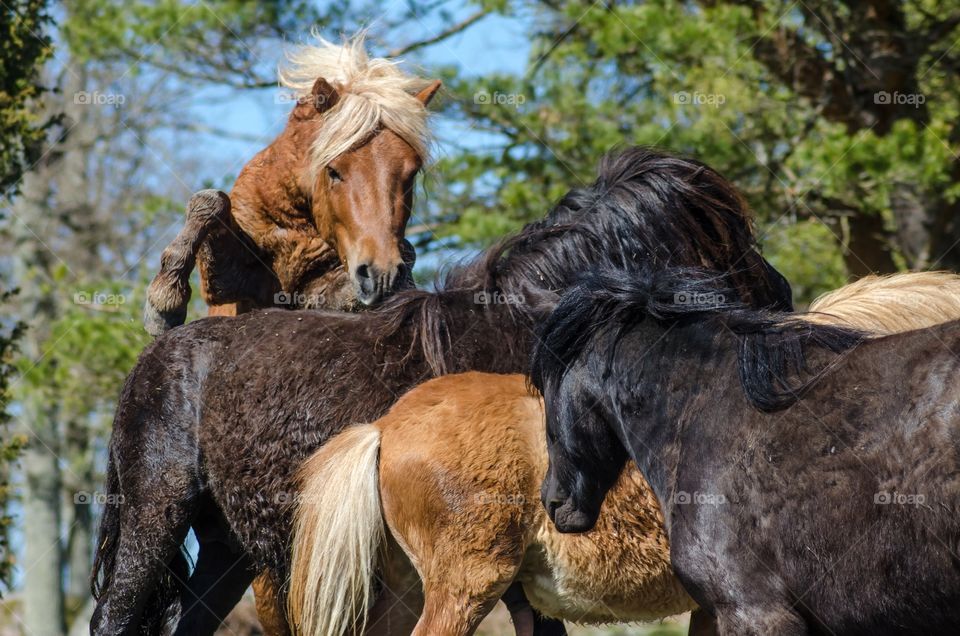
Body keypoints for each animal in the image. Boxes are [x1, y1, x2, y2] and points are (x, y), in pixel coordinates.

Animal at [92, 145, 796, 636]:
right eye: (733, 238)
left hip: (227, 548)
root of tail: (157, 353)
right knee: (115, 618)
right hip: (156, 513)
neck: (525, 329)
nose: (785, 295)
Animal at [142, 34, 442, 336]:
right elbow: (211, 201)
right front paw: (164, 304)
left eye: (411, 173)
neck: (290, 226)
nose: (383, 276)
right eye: (333, 171)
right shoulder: (228, 285)